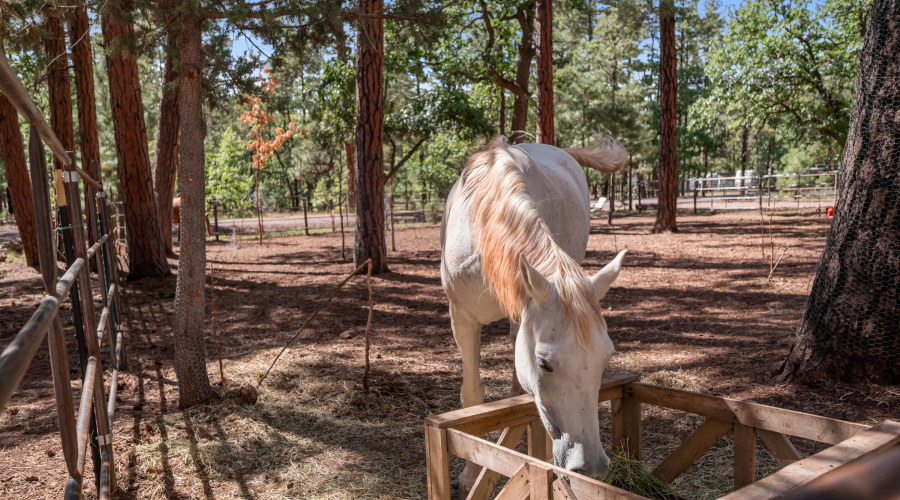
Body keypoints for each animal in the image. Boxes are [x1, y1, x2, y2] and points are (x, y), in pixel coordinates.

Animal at [440, 137, 627, 490]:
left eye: (606, 358)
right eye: (544, 364)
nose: (591, 466)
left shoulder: (521, 315)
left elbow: (523, 398)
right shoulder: (463, 319)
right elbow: (472, 398)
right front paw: (471, 475)